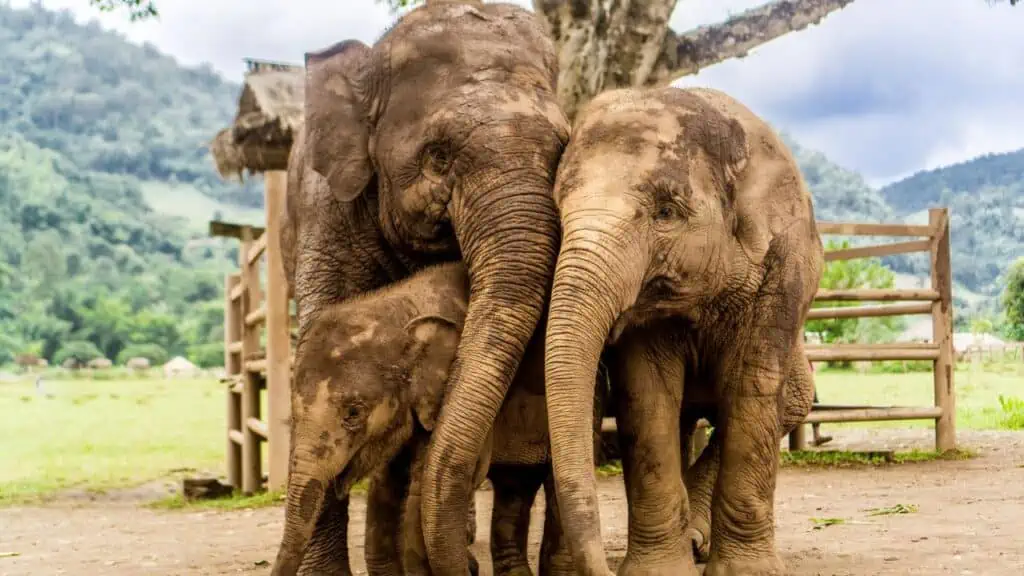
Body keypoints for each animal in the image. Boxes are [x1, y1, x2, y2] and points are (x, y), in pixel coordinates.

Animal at [542, 86, 824, 576]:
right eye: (558, 212)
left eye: (666, 212)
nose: (600, 570)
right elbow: (647, 394)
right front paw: (657, 572)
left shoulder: (784, 268)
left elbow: (751, 388)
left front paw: (749, 573)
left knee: (789, 401)